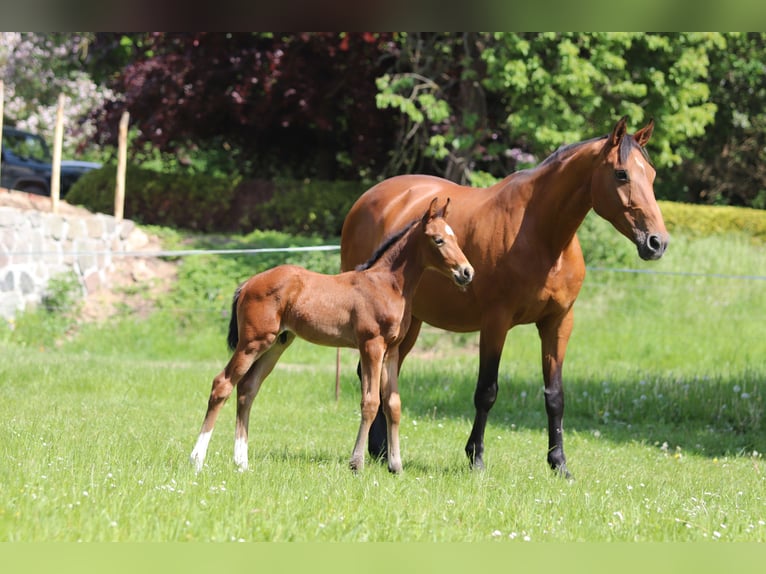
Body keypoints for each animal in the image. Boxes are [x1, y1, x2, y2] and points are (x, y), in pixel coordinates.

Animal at [192, 199, 474, 476]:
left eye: (455, 237)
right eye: (438, 240)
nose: (467, 272)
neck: (387, 285)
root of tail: (247, 284)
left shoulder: (392, 350)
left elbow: (393, 404)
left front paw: (396, 466)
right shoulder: (371, 345)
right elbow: (370, 402)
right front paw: (356, 464)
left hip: (276, 344)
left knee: (247, 389)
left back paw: (242, 463)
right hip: (252, 342)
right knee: (222, 384)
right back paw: (197, 459)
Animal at [340, 116, 668, 476]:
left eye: (652, 175)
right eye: (621, 174)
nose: (657, 242)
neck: (543, 236)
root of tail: (368, 199)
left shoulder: (558, 323)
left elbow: (555, 395)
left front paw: (559, 463)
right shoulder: (495, 323)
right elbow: (487, 391)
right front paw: (476, 458)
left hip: (409, 324)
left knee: (384, 378)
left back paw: (381, 450)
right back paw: (379, 450)